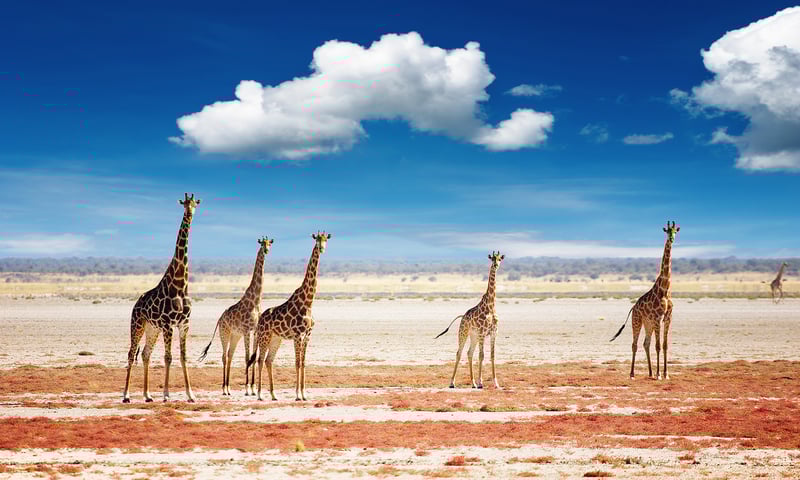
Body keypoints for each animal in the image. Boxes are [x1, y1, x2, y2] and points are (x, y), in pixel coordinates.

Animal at [122, 193, 200, 403]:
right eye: (184, 204)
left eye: (195, 204)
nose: (189, 214)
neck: (181, 285)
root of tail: (135, 304)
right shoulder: (168, 324)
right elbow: (168, 357)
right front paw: (166, 394)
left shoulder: (184, 324)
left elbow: (182, 356)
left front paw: (191, 394)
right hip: (138, 324)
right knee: (131, 353)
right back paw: (126, 395)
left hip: (152, 328)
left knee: (145, 354)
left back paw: (147, 395)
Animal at [198, 237, 273, 396]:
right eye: (262, 244)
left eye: (270, 243)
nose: (266, 250)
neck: (256, 301)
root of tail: (219, 319)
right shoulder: (246, 330)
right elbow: (247, 357)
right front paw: (247, 388)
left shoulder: (255, 331)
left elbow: (253, 357)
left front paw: (252, 387)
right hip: (224, 333)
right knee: (224, 356)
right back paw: (224, 388)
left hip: (235, 336)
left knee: (230, 355)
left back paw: (228, 388)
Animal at [247, 231, 330, 401]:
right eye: (317, 240)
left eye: (326, 239)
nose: (322, 248)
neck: (308, 302)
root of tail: (260, 321)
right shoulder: (298, 335)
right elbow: (297, 362)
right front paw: (298, 395)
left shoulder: (307, 336)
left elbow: (303, 363)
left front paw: (304, 394)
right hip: (265, 337)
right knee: (260, 360)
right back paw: (259, 394)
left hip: (276, 338)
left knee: (269, 360)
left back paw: (273, 395)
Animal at [435, 251, 504, 389]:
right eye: (492, 259)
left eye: (500, 259)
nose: (496, 265)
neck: (491, 306)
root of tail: (463, 316)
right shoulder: (483, 333)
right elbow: (482, 356)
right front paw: (481, 383)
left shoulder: (494, 333)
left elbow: (492, 356)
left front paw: (496, 383)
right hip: (464, 333)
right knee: (459, 353)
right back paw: (452, 383)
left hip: (474, 336)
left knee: (469, 353)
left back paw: (473, 383)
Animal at [610, 221, 679, 380]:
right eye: (667, 231)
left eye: (675, 231)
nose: (672, 239)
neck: (665, 289)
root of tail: (633, 307)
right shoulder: (658, 318)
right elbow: (658, 346)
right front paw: (659, 375)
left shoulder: (668, 317)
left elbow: (665, 345)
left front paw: (666, 374)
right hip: (637, 321)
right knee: (635, 344)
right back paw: (632, 374)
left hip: (648, 323)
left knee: (645, 343)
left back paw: (650, 373)